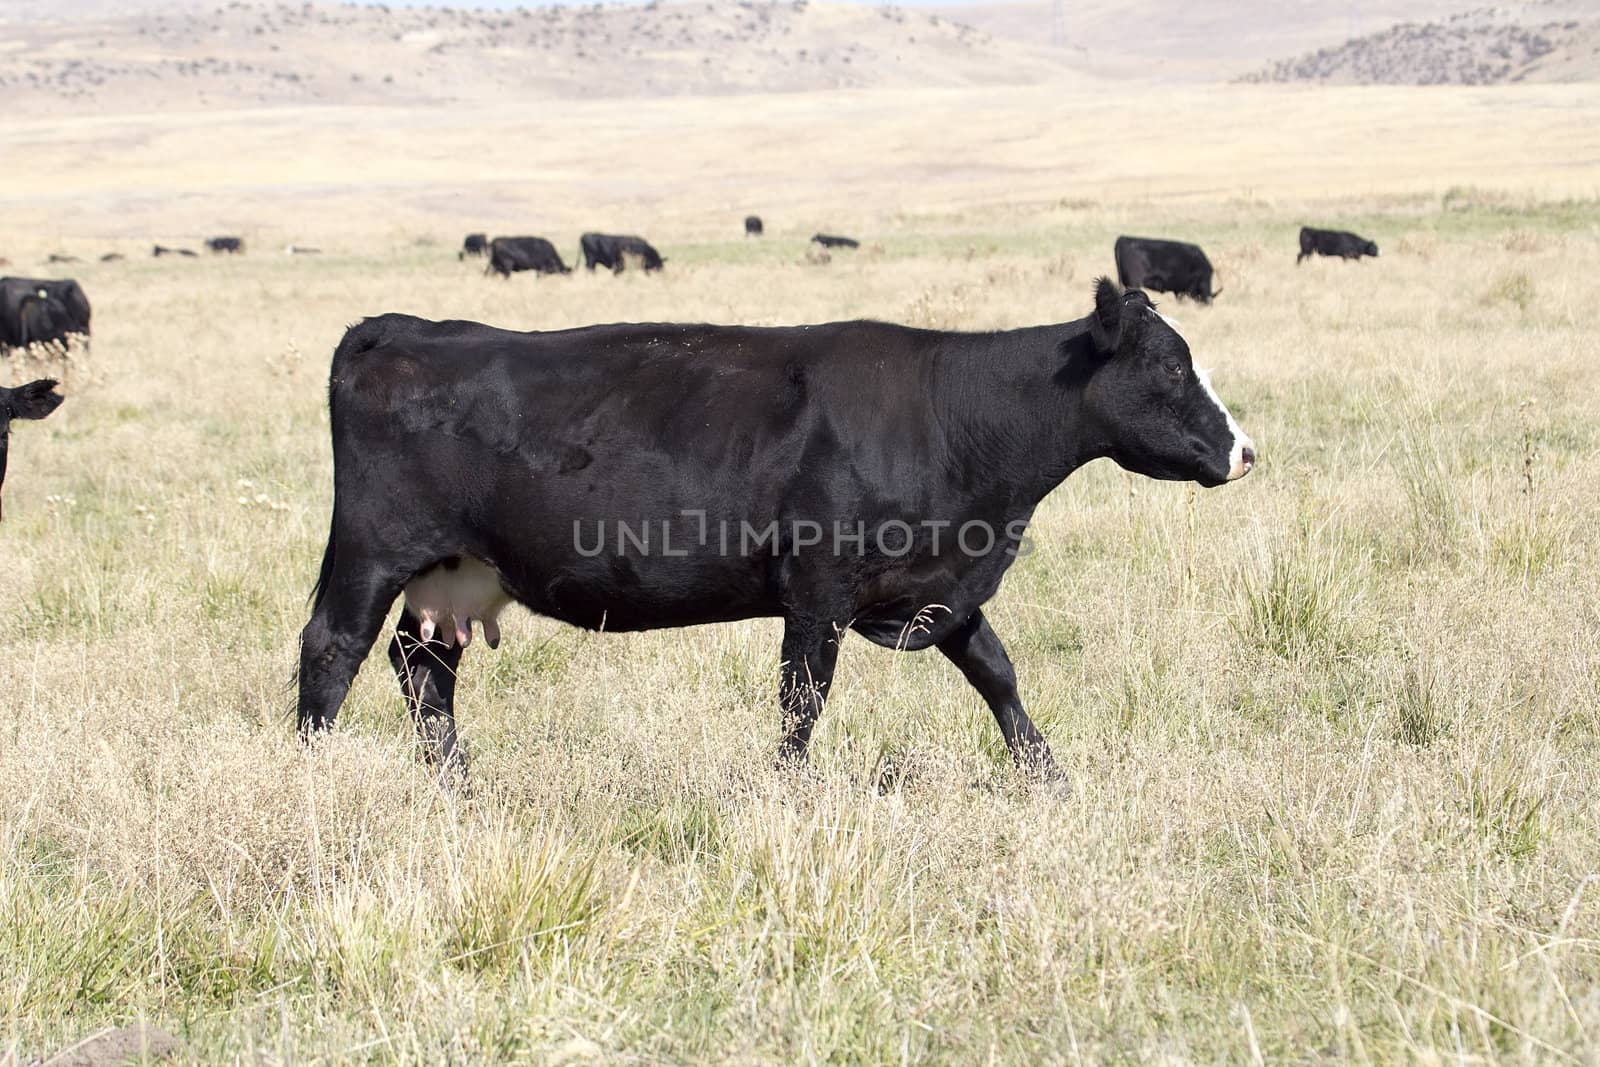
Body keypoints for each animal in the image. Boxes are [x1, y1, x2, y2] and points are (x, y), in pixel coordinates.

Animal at [294, 279, 1254, 790]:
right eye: (1173, 368)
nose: (1245, 449)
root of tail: (398, 328)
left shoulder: (938, 586)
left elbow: (998, 673)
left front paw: (1048, 776)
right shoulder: (819, 592)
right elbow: (804, 698)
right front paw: (787, 791)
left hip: (453, 572)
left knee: (424, 669)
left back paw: (456, 784)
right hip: (374, 553)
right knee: (333, 649)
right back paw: (310, 769)